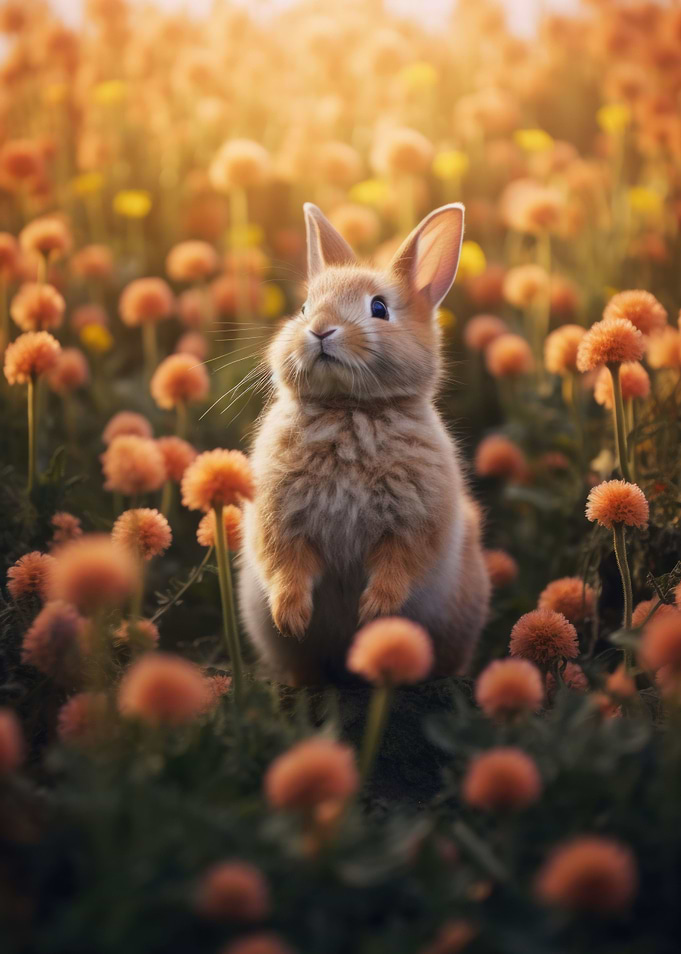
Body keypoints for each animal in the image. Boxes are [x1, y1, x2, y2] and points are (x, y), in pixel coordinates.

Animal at [238, 202, 490, 684]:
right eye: (304, 307)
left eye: (379, 308)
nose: (320, 330)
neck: (348, 409)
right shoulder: (280, 519)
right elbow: (286, 564)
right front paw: (291, 618)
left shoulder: (414, 525)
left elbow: (399, 567)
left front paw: (373, 615)